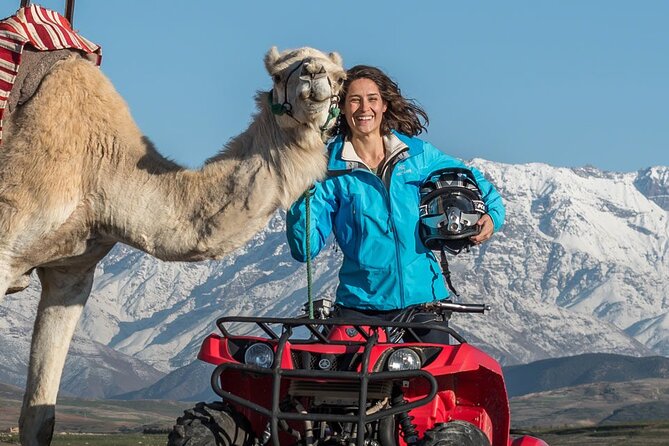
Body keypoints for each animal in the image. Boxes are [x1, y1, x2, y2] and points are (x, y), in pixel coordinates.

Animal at [0, 44, 345, 445]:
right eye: (277, 74)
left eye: (340, 77)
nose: (314, 75)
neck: (99, 166)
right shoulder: (6, 250)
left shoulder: (72, 275)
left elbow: (40, 417)